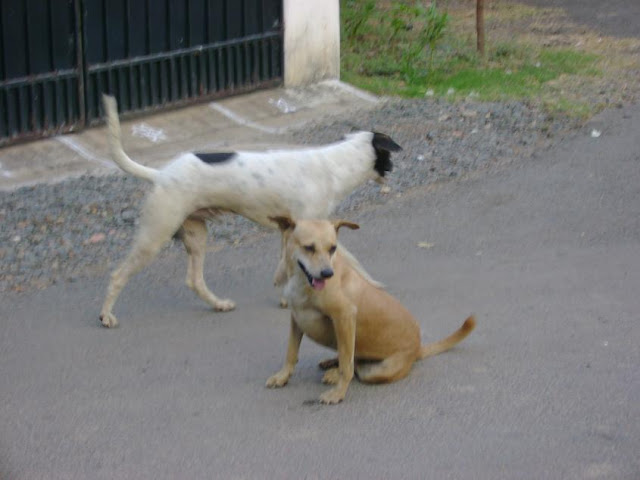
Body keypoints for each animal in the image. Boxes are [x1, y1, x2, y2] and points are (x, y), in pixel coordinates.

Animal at [99, 94, 400, 326]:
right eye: (389, 156)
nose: (396, 168)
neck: (335, 165)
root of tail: (161, 174)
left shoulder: (291, 234)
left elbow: (291, 266)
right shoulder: (311, 231)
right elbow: (351, 260)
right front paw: (374, 285)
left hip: (196, 235)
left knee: (194, 280)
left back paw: (218, 304)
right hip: (154, 235)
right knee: (117, 275)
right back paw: (106, 316)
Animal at [264, 218, 476, 404]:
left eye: (333, 248)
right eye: (309, 247)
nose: (327, 273)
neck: (300, 280)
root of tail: (417, 349)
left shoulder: (345, 316)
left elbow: (347, 367)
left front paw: (338, 392)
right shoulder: (296, 319)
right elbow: (291, 353)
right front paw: (282, 377)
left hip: (375, 371)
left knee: (355, 366)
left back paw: (335, 373)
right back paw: (331, 363)